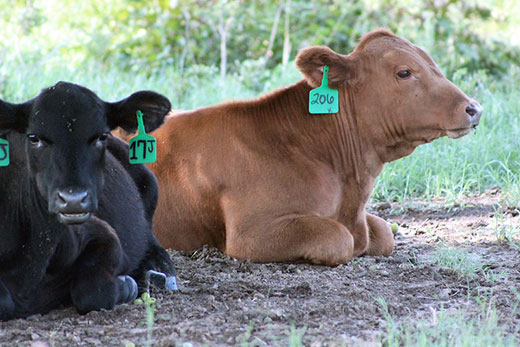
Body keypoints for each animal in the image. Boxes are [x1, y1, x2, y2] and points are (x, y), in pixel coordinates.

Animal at [0, 81, 177, 320]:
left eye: (101, 136)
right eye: (34, 137)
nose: (73, 199)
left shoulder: (101, 232)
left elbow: (94, 292)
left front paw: (125, 286)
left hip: (149, 183)